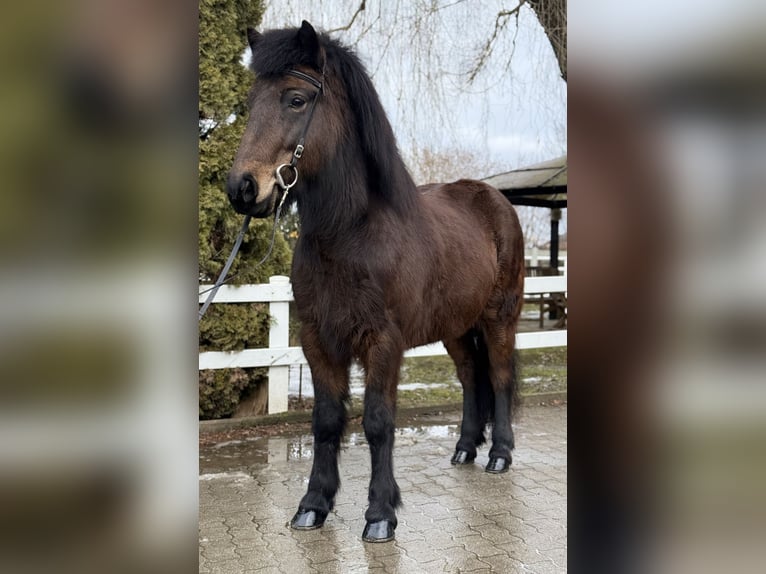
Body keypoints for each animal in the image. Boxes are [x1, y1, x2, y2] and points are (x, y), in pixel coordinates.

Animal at [226, 21, 524, 543]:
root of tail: (496, 201)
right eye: (249, 102)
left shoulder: (382, 342)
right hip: (455, 328)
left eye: (296, 99)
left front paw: (381, 513)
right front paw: (313, 505)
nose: (242, 188)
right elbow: (327, 421)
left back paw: (499, 454)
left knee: (502, 377)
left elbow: (379, 422)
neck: (351, 233)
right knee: (471, 377)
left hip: (499, 318)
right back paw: (465, 448)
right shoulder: (318, 340)